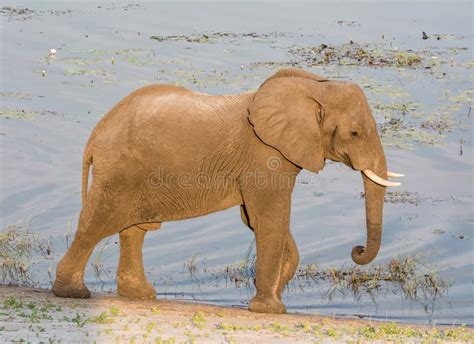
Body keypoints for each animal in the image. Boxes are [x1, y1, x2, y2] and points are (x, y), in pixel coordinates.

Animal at [51, 68, 402, 314]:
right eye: (354, 133)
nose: (356, 249)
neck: (313, 87)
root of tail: (95, 135)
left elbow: (257, 220)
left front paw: (269, 300)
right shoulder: (267, 156)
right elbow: (271, 218)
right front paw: (271, 309)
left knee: (134, 230)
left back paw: (140, 295)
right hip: (120, 171)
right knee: (96, 224)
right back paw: (73, 293)